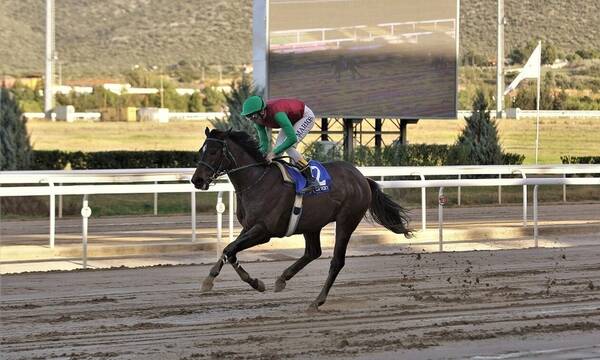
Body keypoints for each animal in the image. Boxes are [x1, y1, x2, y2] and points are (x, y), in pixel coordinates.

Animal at [192, 128, 412, 310]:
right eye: (201, 151)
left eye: (213, 152)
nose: (197, 180)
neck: (256, 182)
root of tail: (362, 178)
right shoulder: (249, 227)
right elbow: (230, 250)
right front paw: (254, 283)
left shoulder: (264, 231)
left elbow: (229, 249)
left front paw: (210, 280)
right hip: (311, 224)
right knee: (313, 252)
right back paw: (282, 279)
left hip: (346, 221)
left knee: (336, 261)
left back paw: (317, 301)